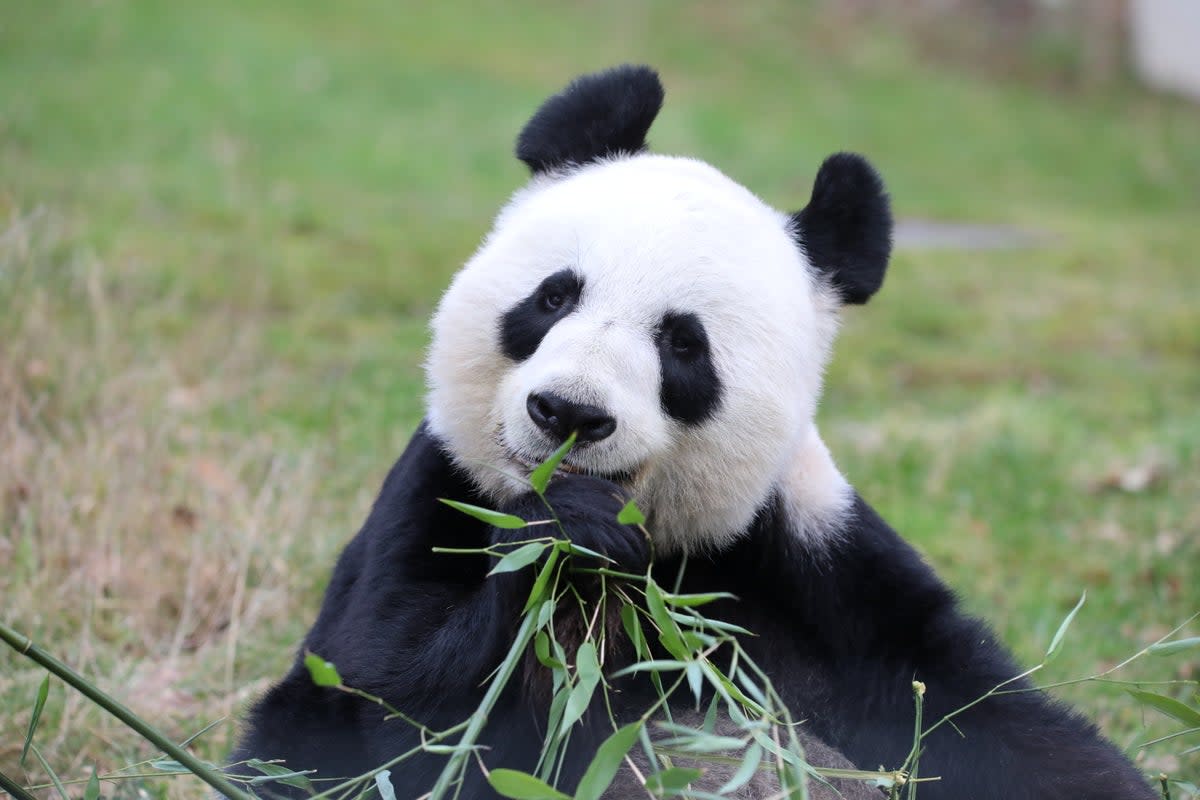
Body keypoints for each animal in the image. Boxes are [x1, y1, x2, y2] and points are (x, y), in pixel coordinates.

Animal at [229, 65, 1156, 796]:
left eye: (682, 344)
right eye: (554, 296)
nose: (569, 413)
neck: (658, 556)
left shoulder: (808, 561)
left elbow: (982, 720)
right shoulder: (442, 493)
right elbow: (390, 699)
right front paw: (566, 538)